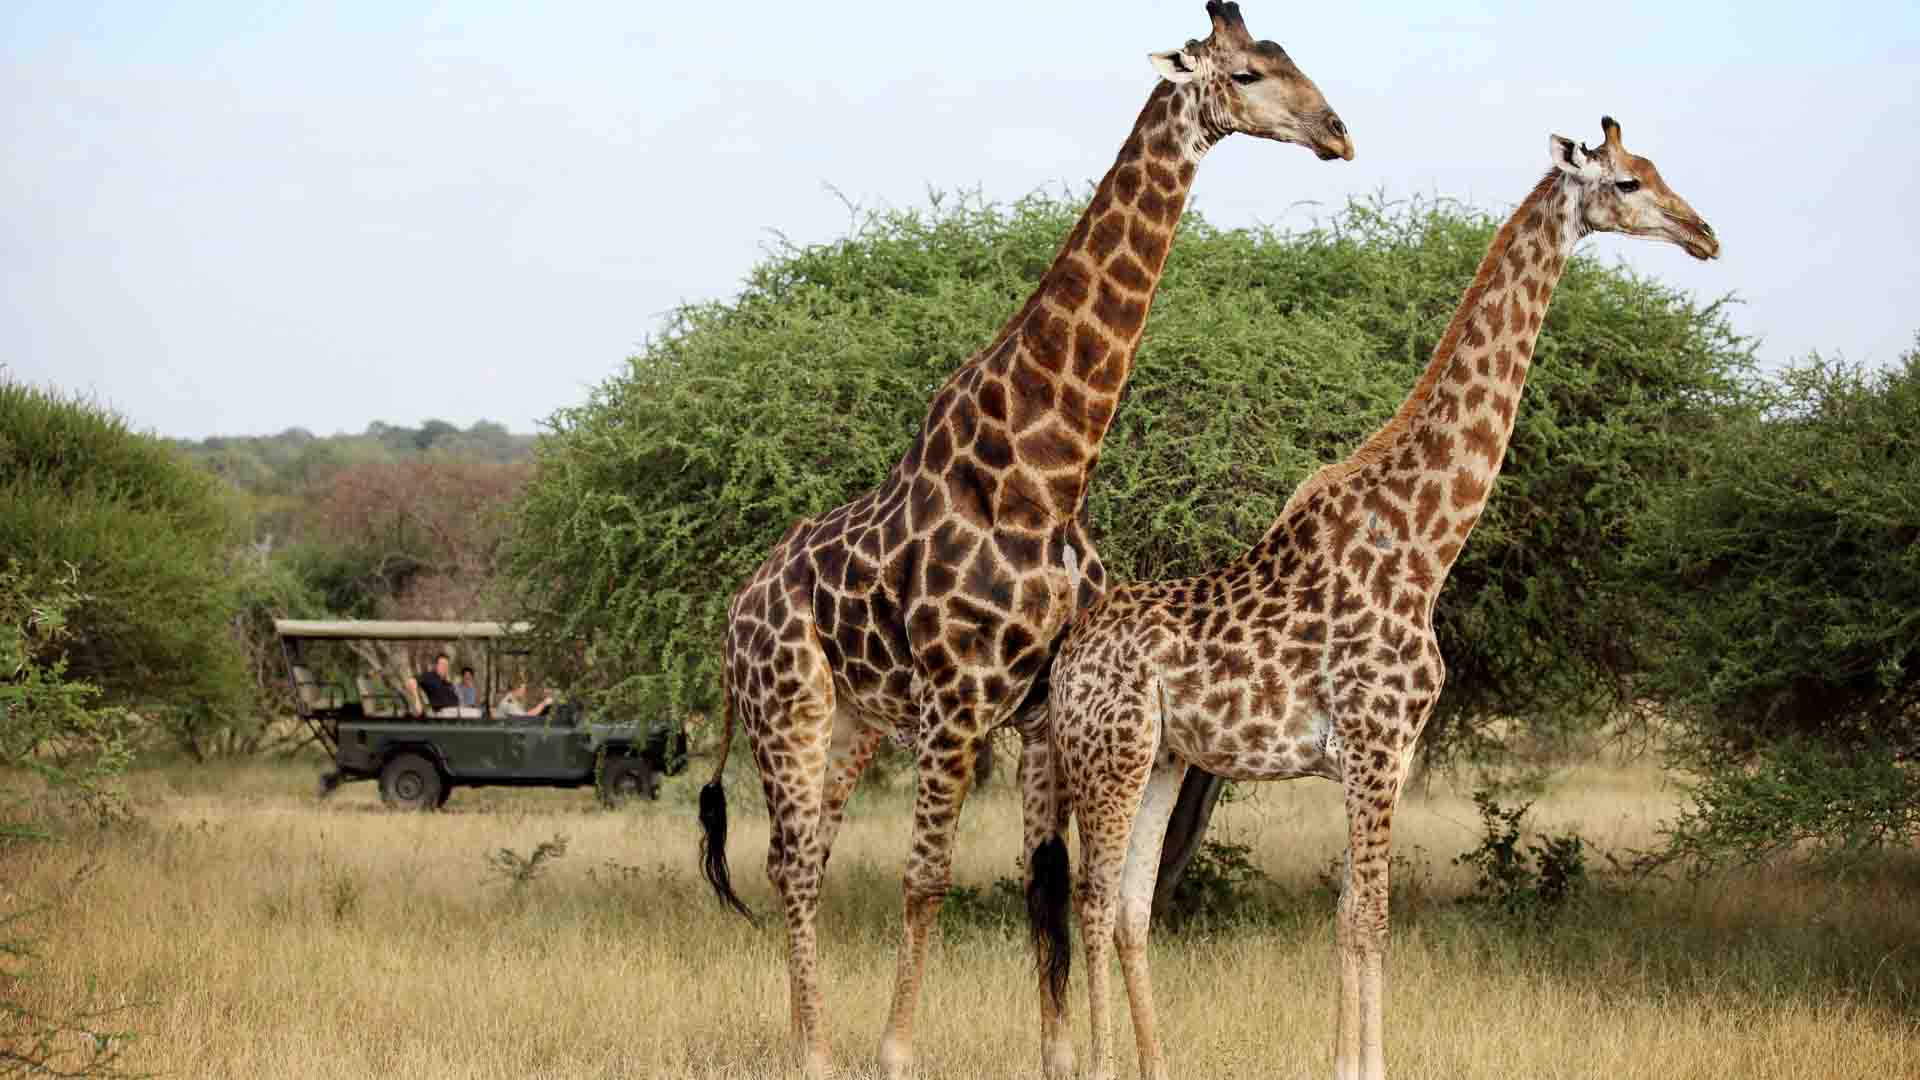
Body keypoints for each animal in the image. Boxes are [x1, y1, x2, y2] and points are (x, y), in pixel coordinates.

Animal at [694, 5, 1352, 1076]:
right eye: (1250, 73)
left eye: (1294, 58)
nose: (1338, 132)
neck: (1046, 469)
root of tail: (734, 615)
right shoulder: (960, 701)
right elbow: (928, 878)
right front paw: (897, 1053)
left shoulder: (1043, 707)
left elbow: (1046, 879)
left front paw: (1057, 1056)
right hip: (788, 707)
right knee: (792, 865)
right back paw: (818, 1053)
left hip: (853, 721)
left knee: (807, 859)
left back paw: (807, 1037)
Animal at [1022, 117, 1719, 1080]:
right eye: (1625, 182)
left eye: (1656, 170)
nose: (1703, 233)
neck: (1425, 544)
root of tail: (1065, 653)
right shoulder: (1377, 742)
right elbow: (1370, 920)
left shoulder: (1383, 754)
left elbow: (1347, 917)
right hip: (1111, 751)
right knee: (1091, 902)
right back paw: (1104, 1065)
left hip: (1164, 758)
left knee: (1130, 907)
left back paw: (1160, 1064)